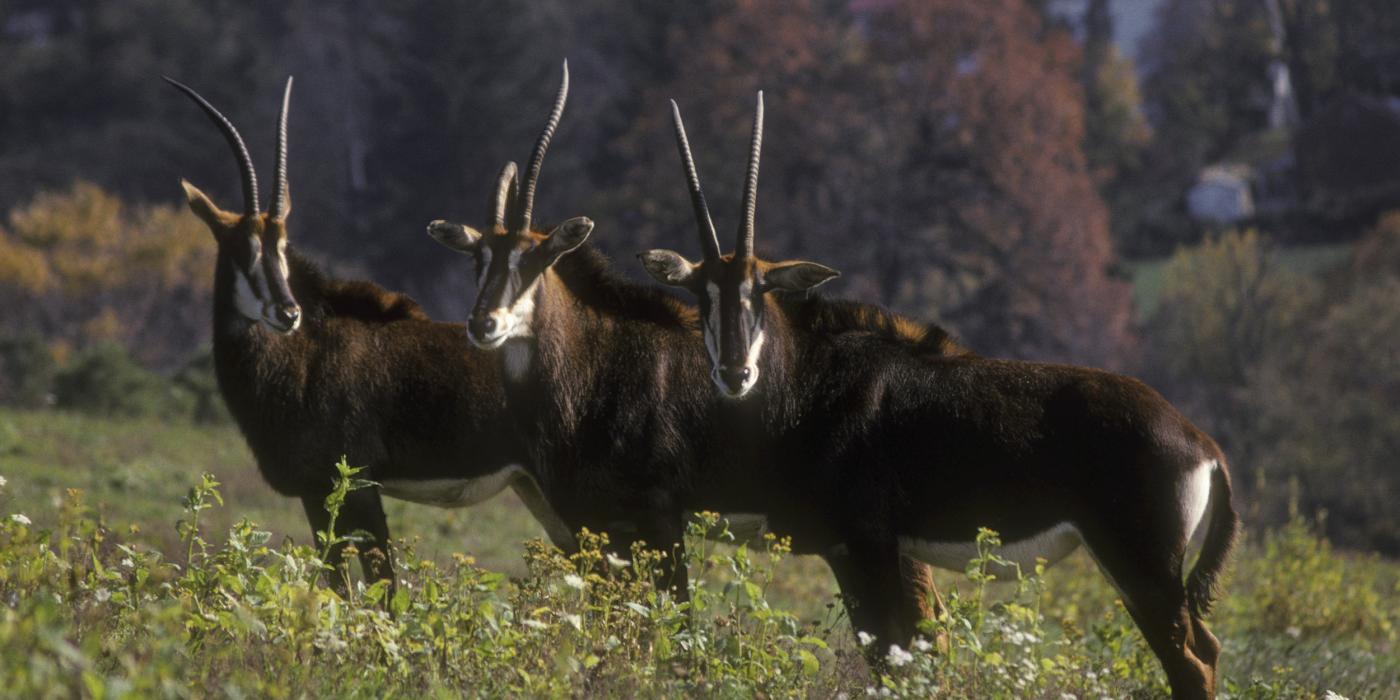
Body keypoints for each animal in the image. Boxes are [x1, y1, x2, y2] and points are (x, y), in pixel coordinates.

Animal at [166, 78, 571, 590]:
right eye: (243, 249)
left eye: (282, 246)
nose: (288, 313)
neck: (302, 357)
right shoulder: (314, 493)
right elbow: (336, 583)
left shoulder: (357, 487)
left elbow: (380, 584)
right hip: (537, 491)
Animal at [641, 94, 1243, 700]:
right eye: (701, 295)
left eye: (760, 291)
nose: (735, 372)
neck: (813, 379)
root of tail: (1203, 446)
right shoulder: (880, 550)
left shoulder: (864, 543)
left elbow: (891, 653)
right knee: (1207, 648)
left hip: (1142, 568)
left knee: (1191, 662)